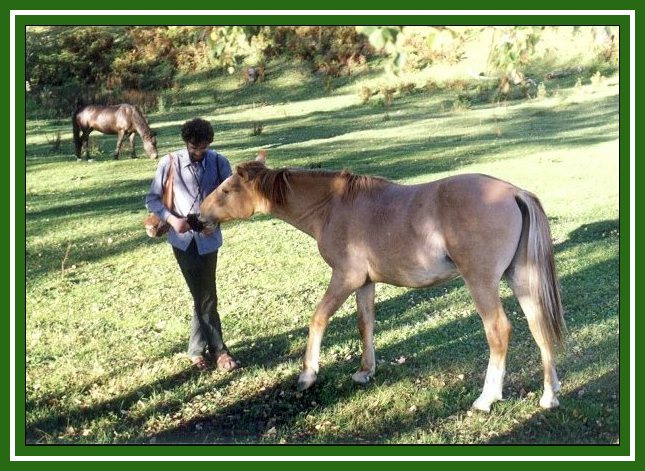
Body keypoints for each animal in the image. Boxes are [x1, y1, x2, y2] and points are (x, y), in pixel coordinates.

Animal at [199, 154, 566, 412]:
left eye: (227, 189)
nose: (196, 216)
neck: (333, 206)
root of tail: (515, 192)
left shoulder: (344, 278)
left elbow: (318, 319)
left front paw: (307, 375)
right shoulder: (365, 283)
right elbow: (366, 324)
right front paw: (366, 371)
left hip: (481, 283)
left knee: (499, 331)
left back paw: (487, 398)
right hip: (522, 280)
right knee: (539, 326)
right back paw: (549, 395)